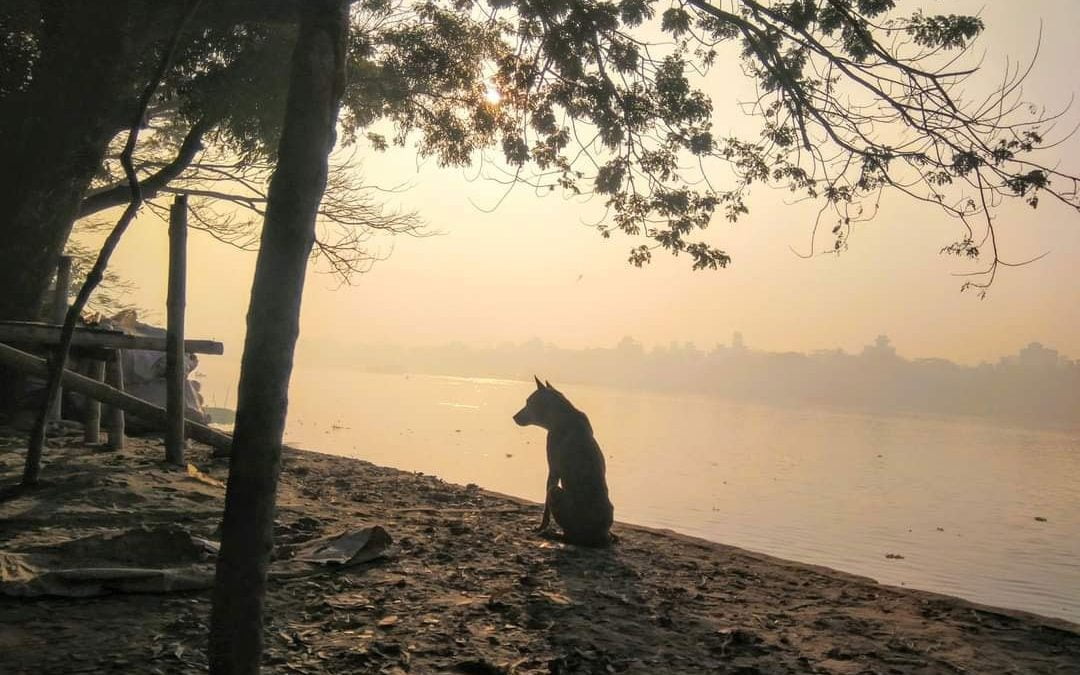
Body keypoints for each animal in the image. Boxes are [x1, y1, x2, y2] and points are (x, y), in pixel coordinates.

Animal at [511, 375, 613, 544]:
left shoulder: (553, 471)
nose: (514, 417)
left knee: (570, 533)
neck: (563, 414)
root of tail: (597, 536)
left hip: (556, 493)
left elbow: (546, 508)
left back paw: (554, 534)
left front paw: (541, 527)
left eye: (529, 403)